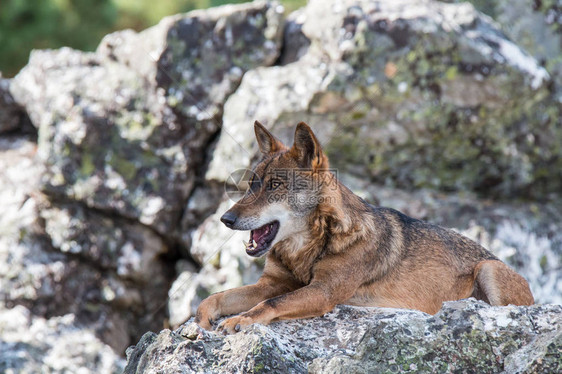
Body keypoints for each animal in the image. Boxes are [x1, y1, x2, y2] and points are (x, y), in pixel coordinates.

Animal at [195, 121, 532, 334]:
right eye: (252, 184)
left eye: (275, 186)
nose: (226, 219)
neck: (311, 247)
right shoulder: (272, 283)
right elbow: (219, 296)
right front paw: (203, 319)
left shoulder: (323, 292)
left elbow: (270, 303)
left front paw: (240, 320)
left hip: (489, 269)